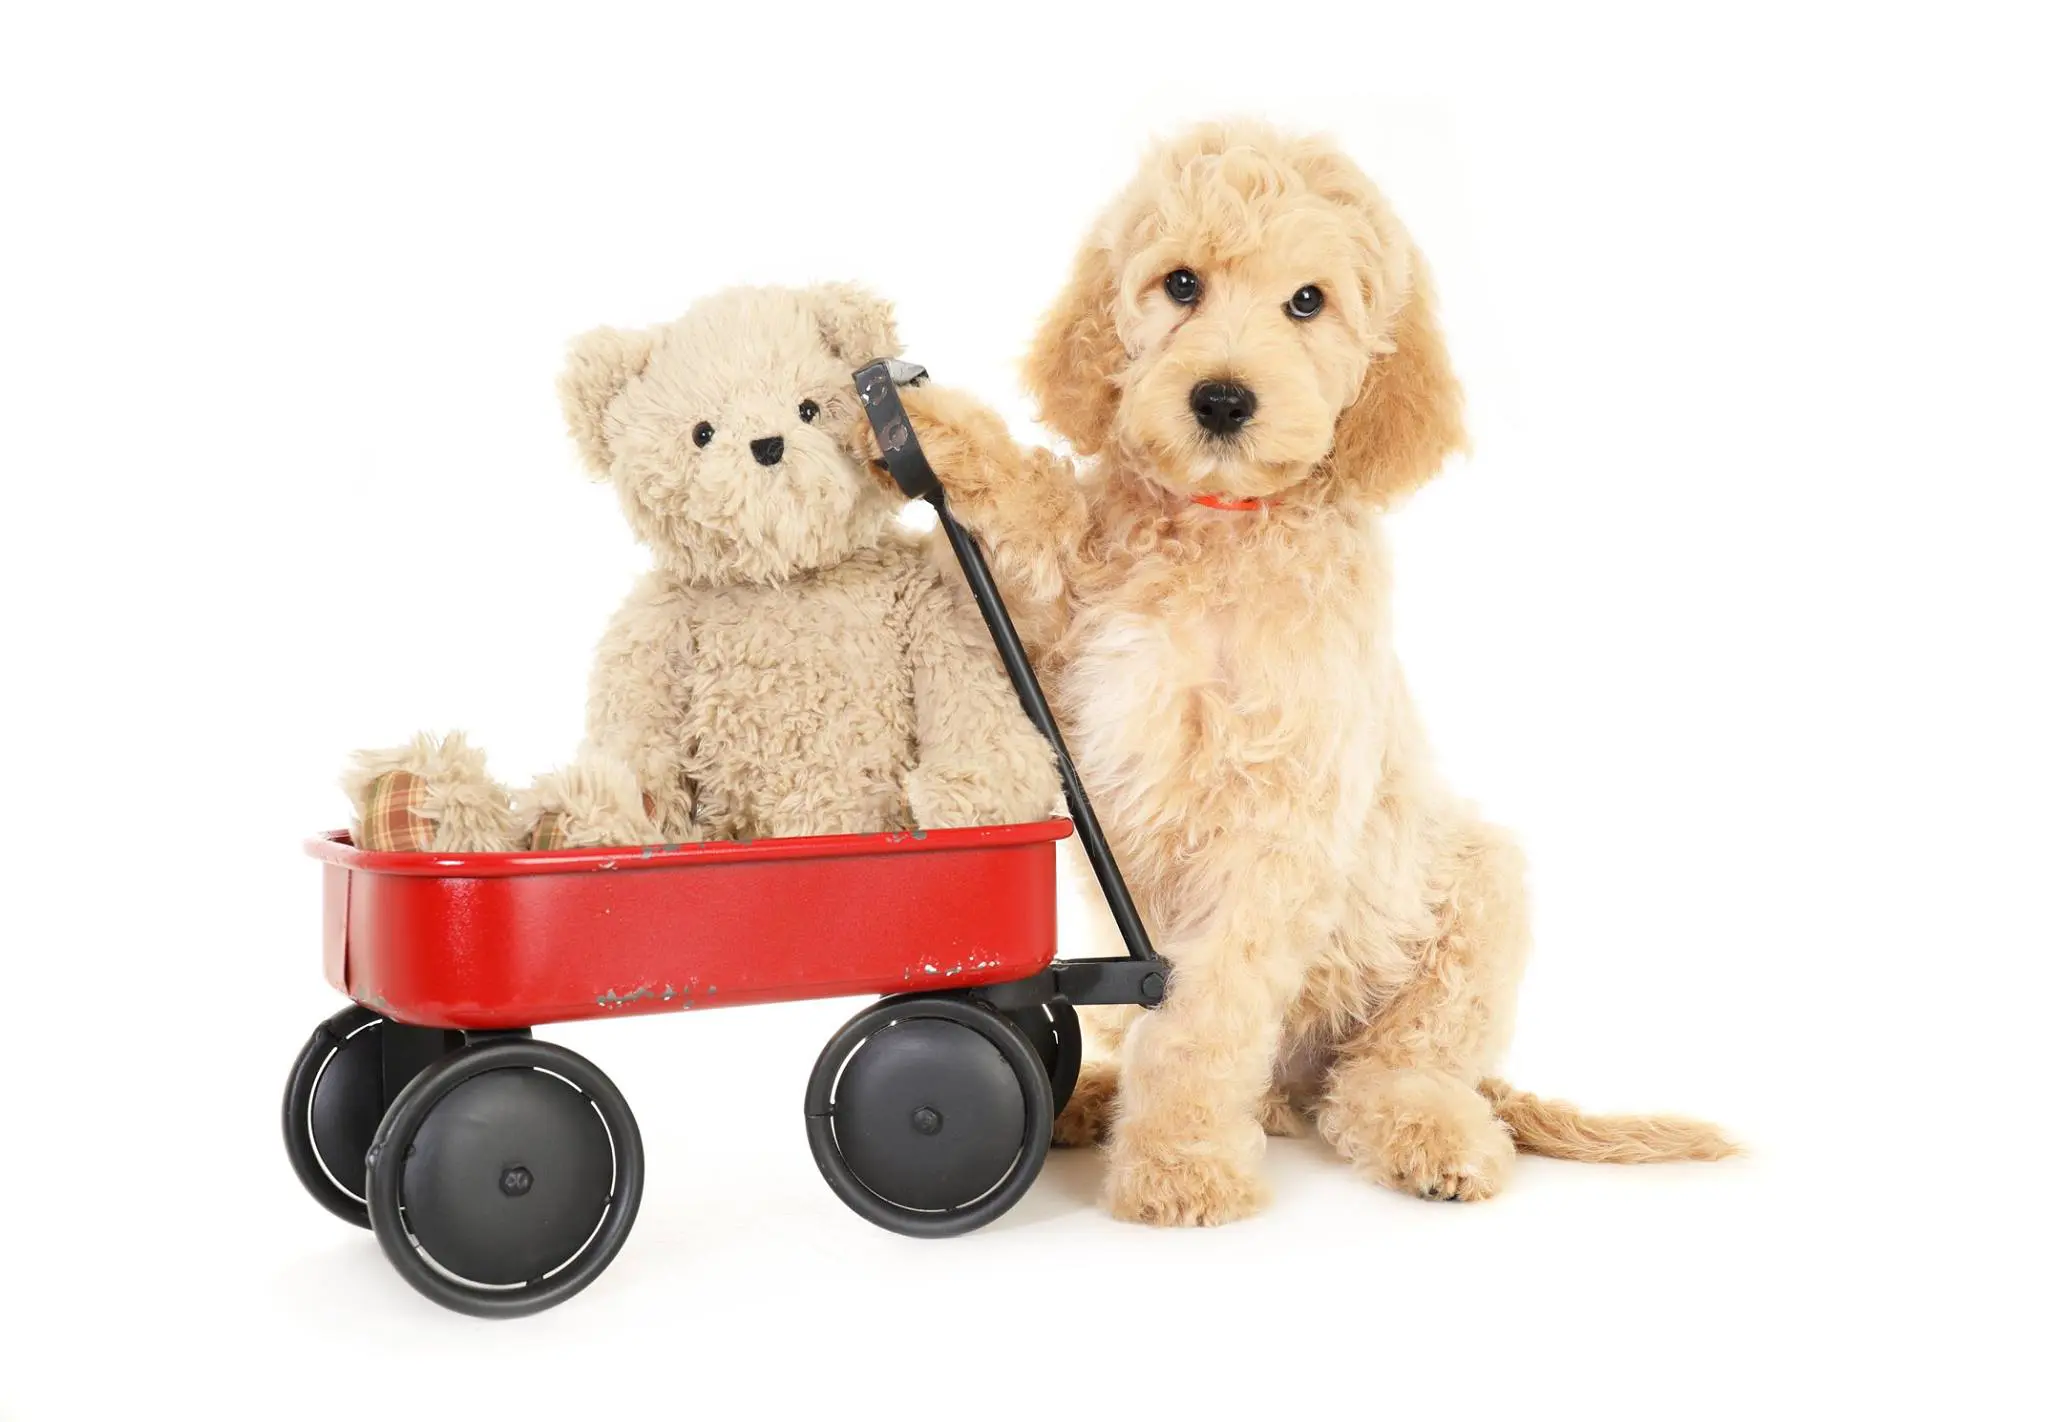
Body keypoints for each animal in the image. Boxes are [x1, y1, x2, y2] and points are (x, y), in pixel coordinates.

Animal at [880, 125, 1728, 1229]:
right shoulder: (1069, 663)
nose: (1221, 400)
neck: (1219, 525)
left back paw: (1428, 1134)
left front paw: (1180, 1167)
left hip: (1476, 896)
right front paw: (934, 429)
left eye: (1308, 301)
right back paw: (1090, 1096)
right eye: (1180, 283)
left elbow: (1201, 1019)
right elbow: (1034, 543)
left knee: (1392, 1069)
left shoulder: (1272, 824)